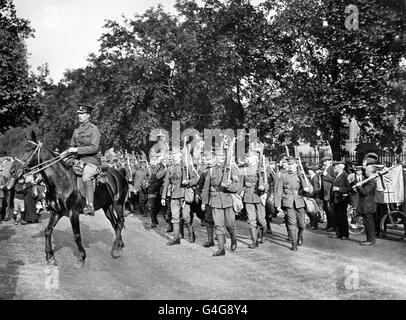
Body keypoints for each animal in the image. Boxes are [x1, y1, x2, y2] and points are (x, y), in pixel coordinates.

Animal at [8, 131, 128, 266]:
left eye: (29, 148)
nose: (12, 171)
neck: (62, 180)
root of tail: (120, 173)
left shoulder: (73, 213)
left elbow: (76, 235)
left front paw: (81, 257)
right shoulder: (56, 212)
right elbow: (47, 231)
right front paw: (50, 255)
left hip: (118, 204)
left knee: (120, 222)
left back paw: (116, 249)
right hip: (107, 207)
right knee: (115, 224)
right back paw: (118, 245)